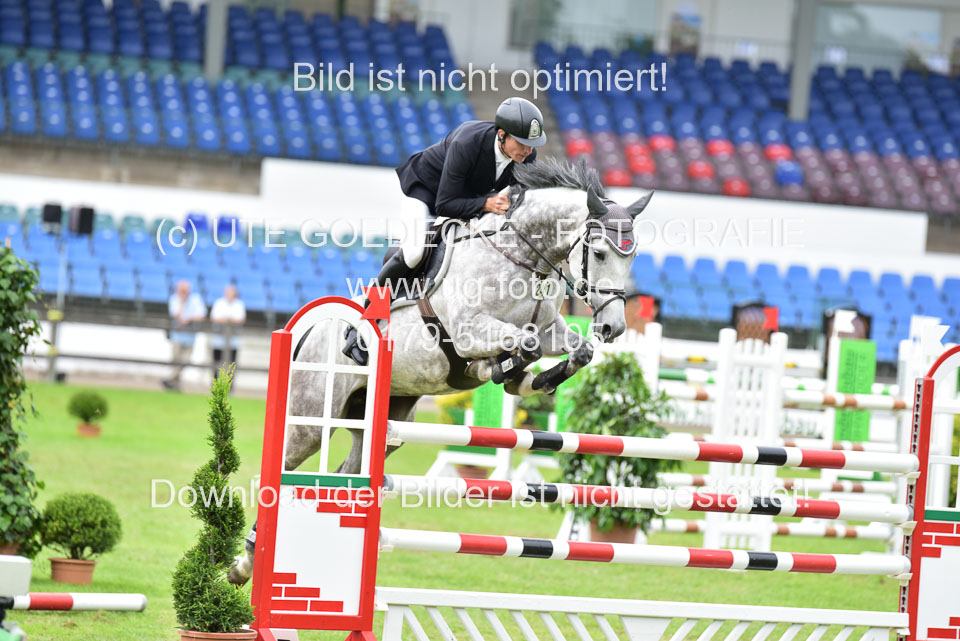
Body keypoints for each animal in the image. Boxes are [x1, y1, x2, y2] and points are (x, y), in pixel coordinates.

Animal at [228, 158, 651, 585]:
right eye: (599, 253)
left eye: (632, 258)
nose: (613, 327)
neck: (524, 258)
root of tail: (306, 334)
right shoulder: (469, 331)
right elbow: (522, 346)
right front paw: (497, 370)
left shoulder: (550, 330)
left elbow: (578, 351)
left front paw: (530, 379)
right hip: (312, 421)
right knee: (282, 467)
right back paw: (245, 562)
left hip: (385, 423)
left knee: (348, 470)